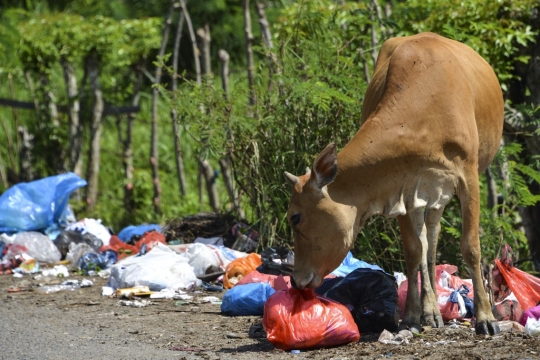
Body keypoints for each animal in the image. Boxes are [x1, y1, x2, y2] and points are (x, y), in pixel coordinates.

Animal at [284, 31, 504, 334]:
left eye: (295, 217)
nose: (295, 280)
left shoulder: (468, 176)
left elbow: (470, 247)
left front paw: (486, 318)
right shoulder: (399, 187)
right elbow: (413, 251)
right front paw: (411, 315)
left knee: (432, 237)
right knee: (427, 243)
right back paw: (430, 311)